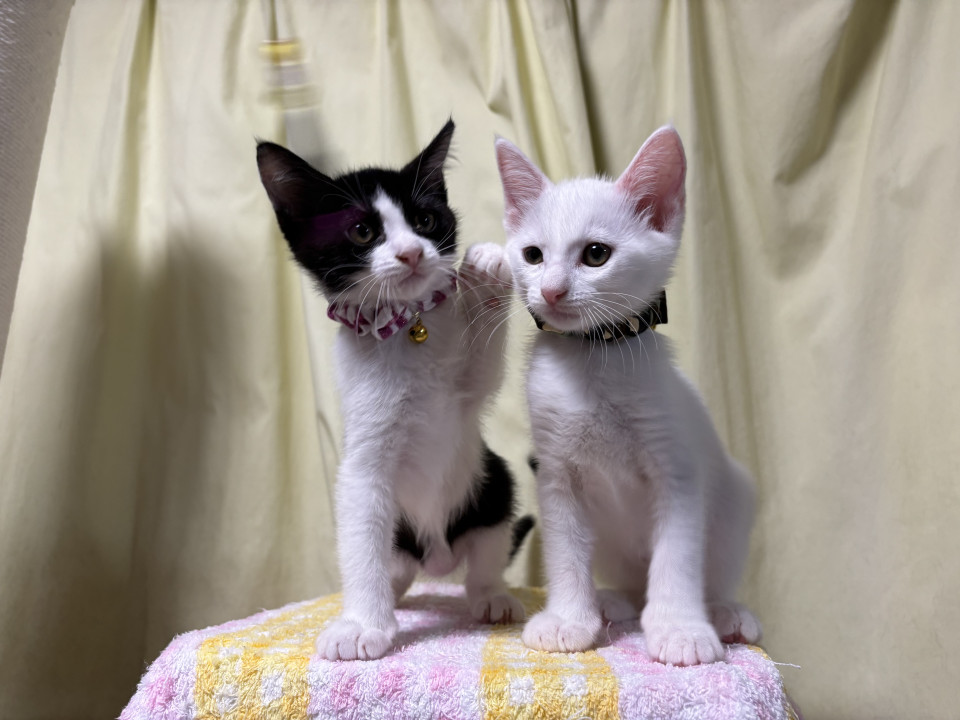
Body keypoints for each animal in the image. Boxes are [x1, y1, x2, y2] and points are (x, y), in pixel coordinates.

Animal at [257, 120, 530, 661]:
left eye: (425, 219)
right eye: (363, 230)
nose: (411, 252)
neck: (405, 330)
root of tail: (438, 560)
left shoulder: (466, 397)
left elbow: (483, 373)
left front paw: (485, 271)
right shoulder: (362, 464)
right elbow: (362, 535)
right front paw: (362, 625)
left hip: (489, 480)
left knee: (489, 544)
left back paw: (491, 596)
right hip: (404, 533)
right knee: (391, 562)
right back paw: (394, 596)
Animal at [494, 126, 761, 666]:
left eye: (596, 254)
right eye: (533, 255)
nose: (551, 290)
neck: (593, 357)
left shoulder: (678, 471)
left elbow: (677, 557)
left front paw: (680, 629)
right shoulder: (555, 473)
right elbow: (565, 552)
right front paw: (569, 619)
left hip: (735, 502)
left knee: (704, 574)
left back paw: (724, 612)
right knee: (632, 586)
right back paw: (611, 602)